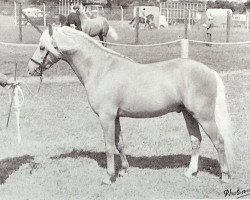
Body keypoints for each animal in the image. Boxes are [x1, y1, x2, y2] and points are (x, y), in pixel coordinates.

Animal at [28, 25, 233, 185]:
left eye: (42, 47)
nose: (30, 69)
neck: (101, 69)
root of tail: (209, 70)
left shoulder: (106, 117)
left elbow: (109, 146)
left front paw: (108, 177)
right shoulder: (116, 117)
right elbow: (120, 144)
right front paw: (124, 171)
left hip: (204, 117)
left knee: (219, 141)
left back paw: (225, 177)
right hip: (188, 114)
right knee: (195, 141)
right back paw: (190, 172)